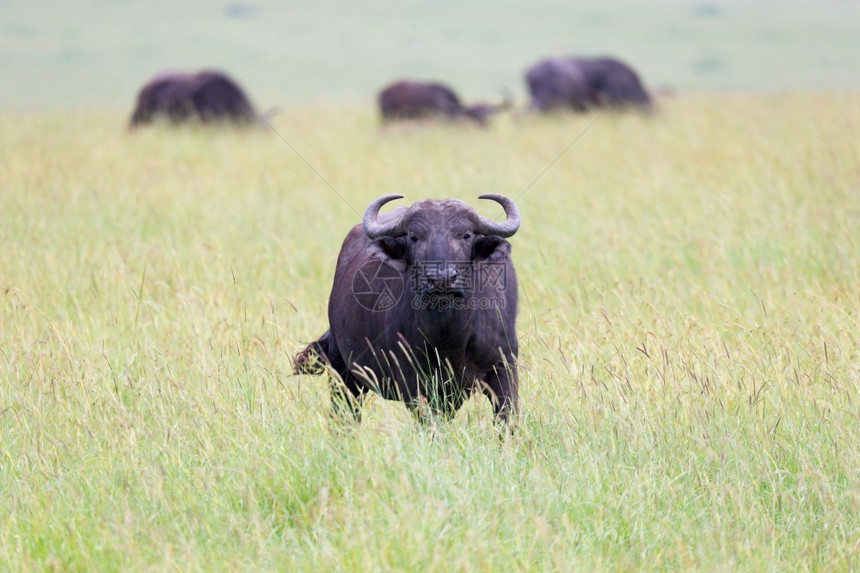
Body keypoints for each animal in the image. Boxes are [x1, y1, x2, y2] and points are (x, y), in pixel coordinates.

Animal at [296, 194, 520, 426]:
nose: (441, 280)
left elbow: (507, 418)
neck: (449, 338)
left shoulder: (505, 366)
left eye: (466, 235)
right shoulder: (412, 381)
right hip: (343, 373)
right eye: (414, 237)